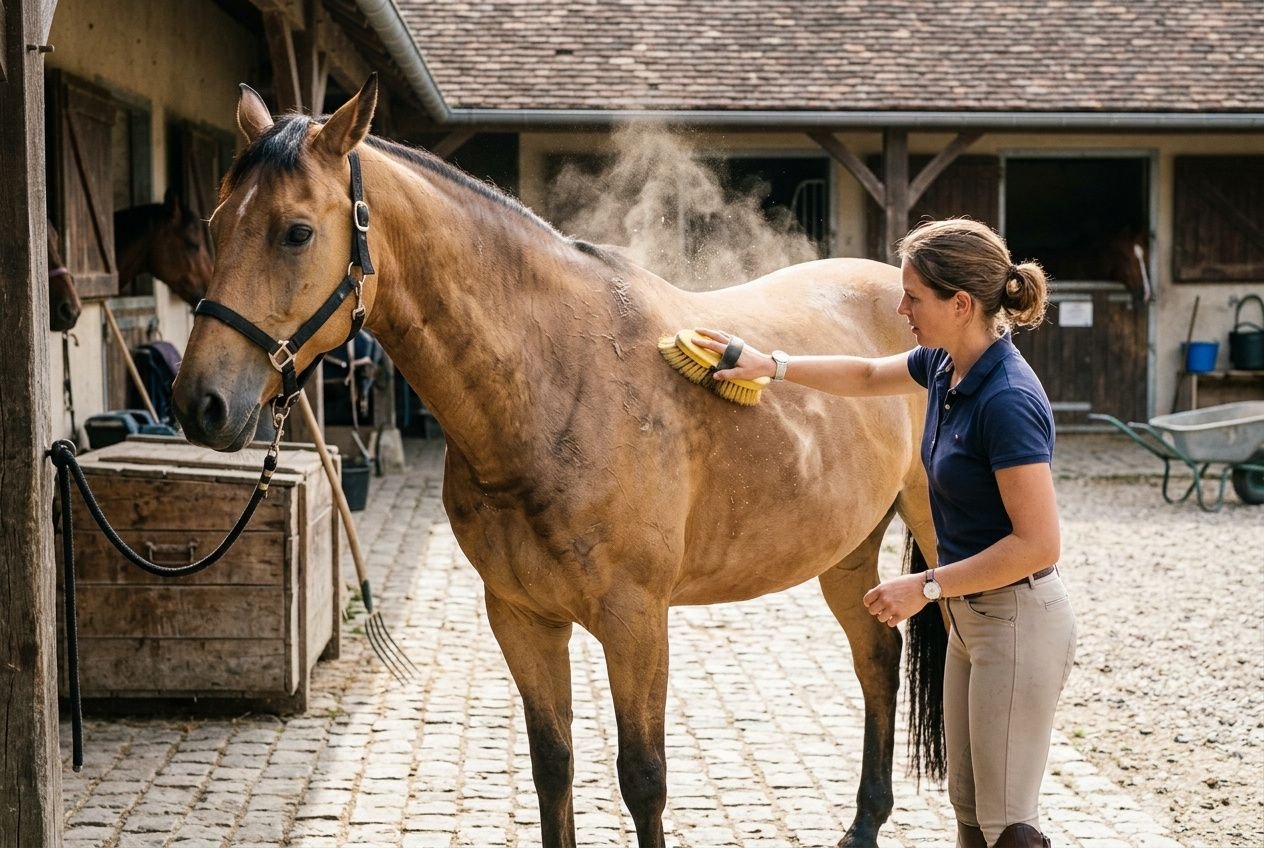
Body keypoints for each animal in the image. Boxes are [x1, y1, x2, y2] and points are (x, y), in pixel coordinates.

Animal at [172, 77, 937, 848]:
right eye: (214, 223)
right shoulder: (521, 617)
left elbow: (643, 778)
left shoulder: (636, 621)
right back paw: (865, 822)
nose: (200, 403)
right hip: (848, 550)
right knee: (879, 658)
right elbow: (553, 764)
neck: (560, 381)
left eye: (296, 232)